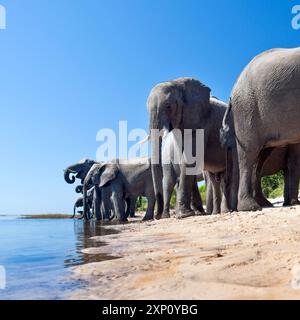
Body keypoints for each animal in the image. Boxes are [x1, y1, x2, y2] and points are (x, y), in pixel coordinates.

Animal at [148, 77, 232, 219]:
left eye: (168, 106)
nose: (156, 217)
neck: (177, 83)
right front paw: (188, 214)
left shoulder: (201, 125)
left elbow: (189, 161)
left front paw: (184, 215)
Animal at [220, 47, 300, 211]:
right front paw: (294, 203)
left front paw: (292, 202)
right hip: (247, 108)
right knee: (248, 154)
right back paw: (250, 207)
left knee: (259, 157)